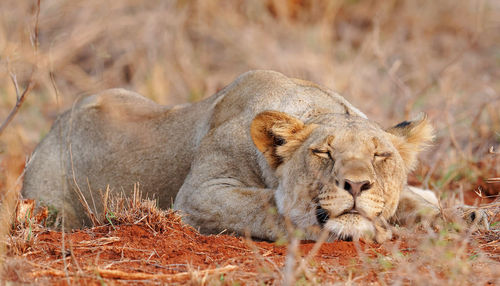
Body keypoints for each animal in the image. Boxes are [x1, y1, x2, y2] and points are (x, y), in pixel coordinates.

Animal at [21, 69, 486, 241]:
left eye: (381, 155)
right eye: (323, 152)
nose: (355, 185)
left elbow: (410, 201)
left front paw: (464, 216)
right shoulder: (199, 194)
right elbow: (267, 206)